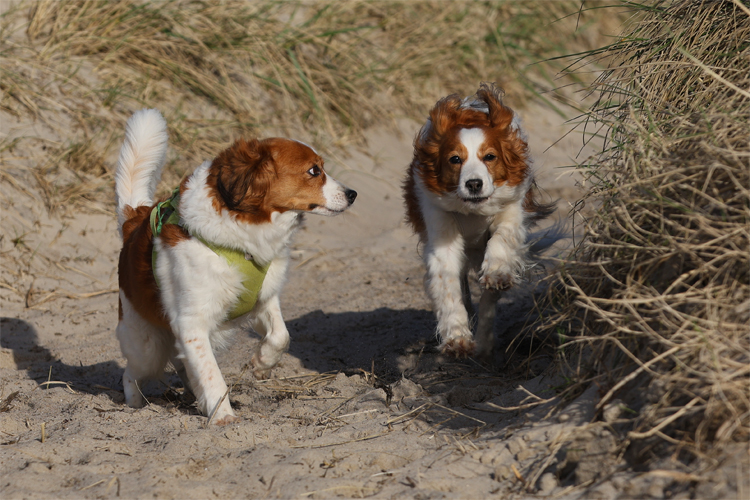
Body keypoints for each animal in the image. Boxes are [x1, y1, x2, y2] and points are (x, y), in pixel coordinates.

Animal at [114, 110, 358, 426]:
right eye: (314, 171)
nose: (353, 194)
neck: (240, 232)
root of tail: (135, 221)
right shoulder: (191, 324)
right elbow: (212, 376)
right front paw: (223, 417)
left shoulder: (263, 298)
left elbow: (281, 336)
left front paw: (262, 364)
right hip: (148, 346)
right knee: (131, 374)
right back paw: (135, 407)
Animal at [402, 84, 556, 358]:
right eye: (455, 159)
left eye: (490, 157)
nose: (473, 183)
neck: (473, 210)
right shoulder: (441, 231)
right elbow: (449, 287)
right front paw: (457, 337)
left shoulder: (512, 210)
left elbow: (501, 240)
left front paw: (497, 272)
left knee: (488, 299)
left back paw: (485, 340)